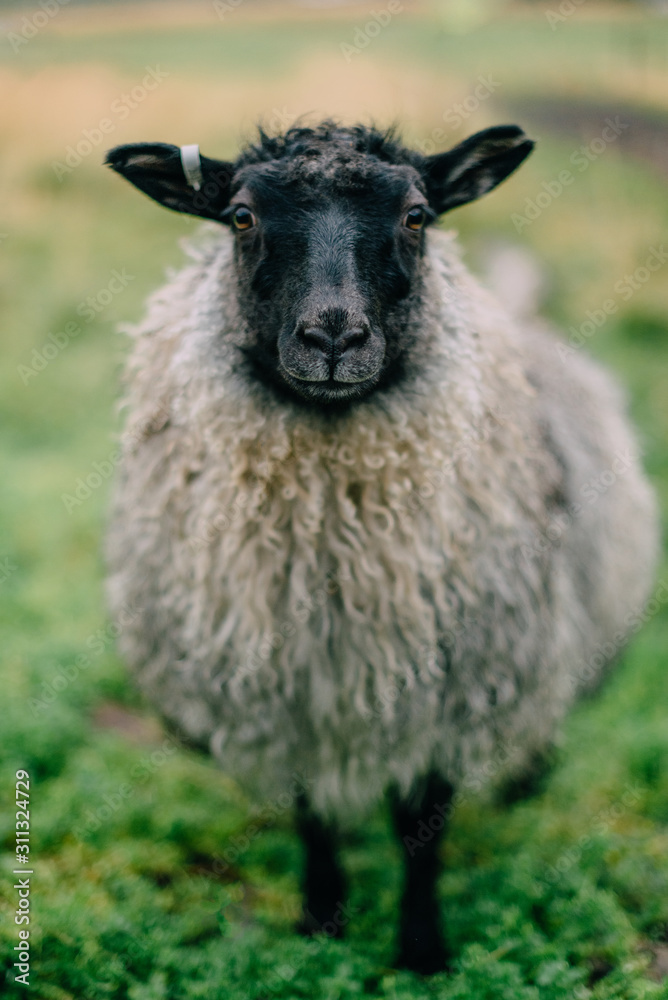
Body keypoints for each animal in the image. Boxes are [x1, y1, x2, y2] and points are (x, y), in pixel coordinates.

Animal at [104, 121, 656, 972]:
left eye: (417, 216)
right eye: (240, 217)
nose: (334, 335)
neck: (339, 562)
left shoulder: (451, 684)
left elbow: (421, 831)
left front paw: (421, 950)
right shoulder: (291, 689)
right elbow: (312, 815)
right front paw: (322, 923)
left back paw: (527, 780)